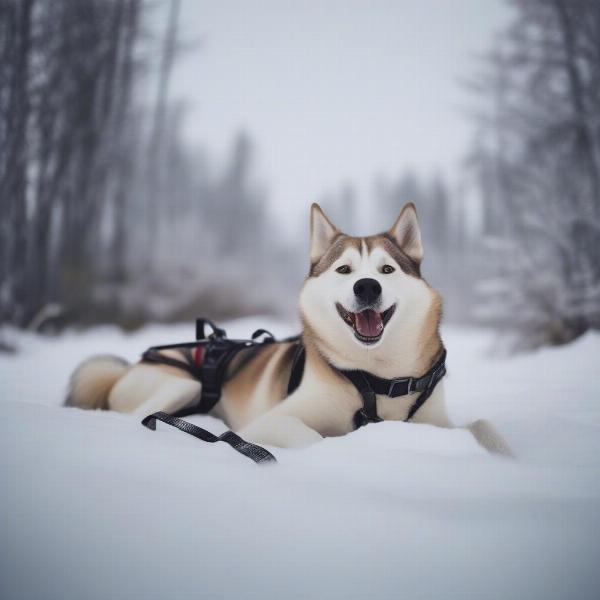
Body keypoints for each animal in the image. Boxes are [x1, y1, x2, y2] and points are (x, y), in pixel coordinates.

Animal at [69, 203, 510, 454]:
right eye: (344, 270)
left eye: (387, 270)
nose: (367, 286)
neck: (379, 376)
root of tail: (130, 366)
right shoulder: (270, 422)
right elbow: (313, 438)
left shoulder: (436, 422)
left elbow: (484, 426)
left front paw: (507, 456)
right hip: (182, 384)